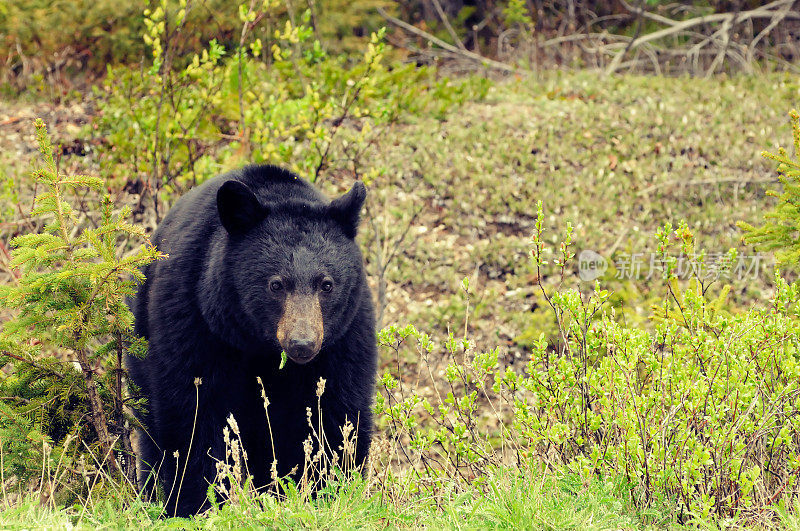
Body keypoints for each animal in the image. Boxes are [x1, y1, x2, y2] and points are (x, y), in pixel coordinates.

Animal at [130, 165, 380, 516]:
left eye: (327, 284)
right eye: (276, 284)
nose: (302, 344)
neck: (260, 345)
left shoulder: (344, 338)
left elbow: (335, 414)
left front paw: (327, 492)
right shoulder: (194, 319)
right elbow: (192, 416)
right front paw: (193, 504)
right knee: (152, 432)